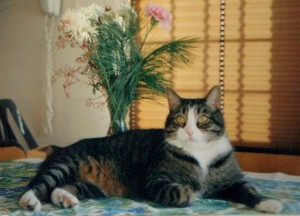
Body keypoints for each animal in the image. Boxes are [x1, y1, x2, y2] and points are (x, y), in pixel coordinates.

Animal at [19, 86, 284, 213]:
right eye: (180, 120)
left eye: (202, 120)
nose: (189, 131)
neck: (199, 154)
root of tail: (59, 147)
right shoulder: (155, 180)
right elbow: (178, 192)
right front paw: (193, 192)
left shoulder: (233, 181)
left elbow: (250, 190)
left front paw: (270, 204)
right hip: (65, 164)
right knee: (37, 185)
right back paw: (30, 202)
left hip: (92, 186)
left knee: (57, 189)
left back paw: (66, 199)